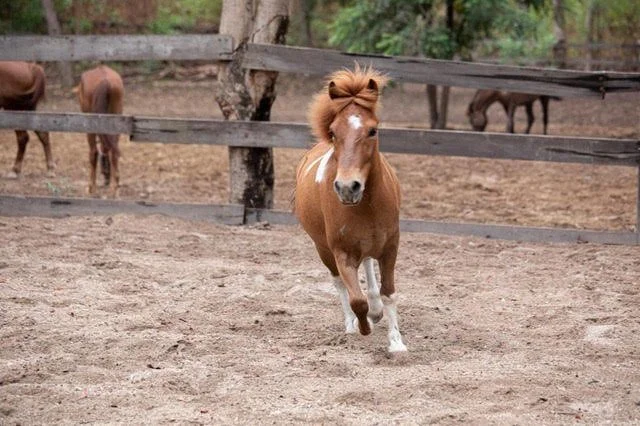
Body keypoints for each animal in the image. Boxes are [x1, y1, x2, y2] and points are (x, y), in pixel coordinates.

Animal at [76, 65, 124, 198]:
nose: (106, 179)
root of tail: (105, 80)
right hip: (116, 119)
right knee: (113, 152)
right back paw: (115, 187)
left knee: (94, 152)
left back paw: (92, 187)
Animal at [294, 66, 407, 352]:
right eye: (334, 132)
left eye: (372, 131)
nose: (347, 187)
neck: (368, 205)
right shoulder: (341, 252)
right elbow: (356, 300)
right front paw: (363, 326)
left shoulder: (390, 247)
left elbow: (389, 293)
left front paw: (396, 343)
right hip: (323, 249)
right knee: (339, 284)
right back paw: (351, 325)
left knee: (367, 265)